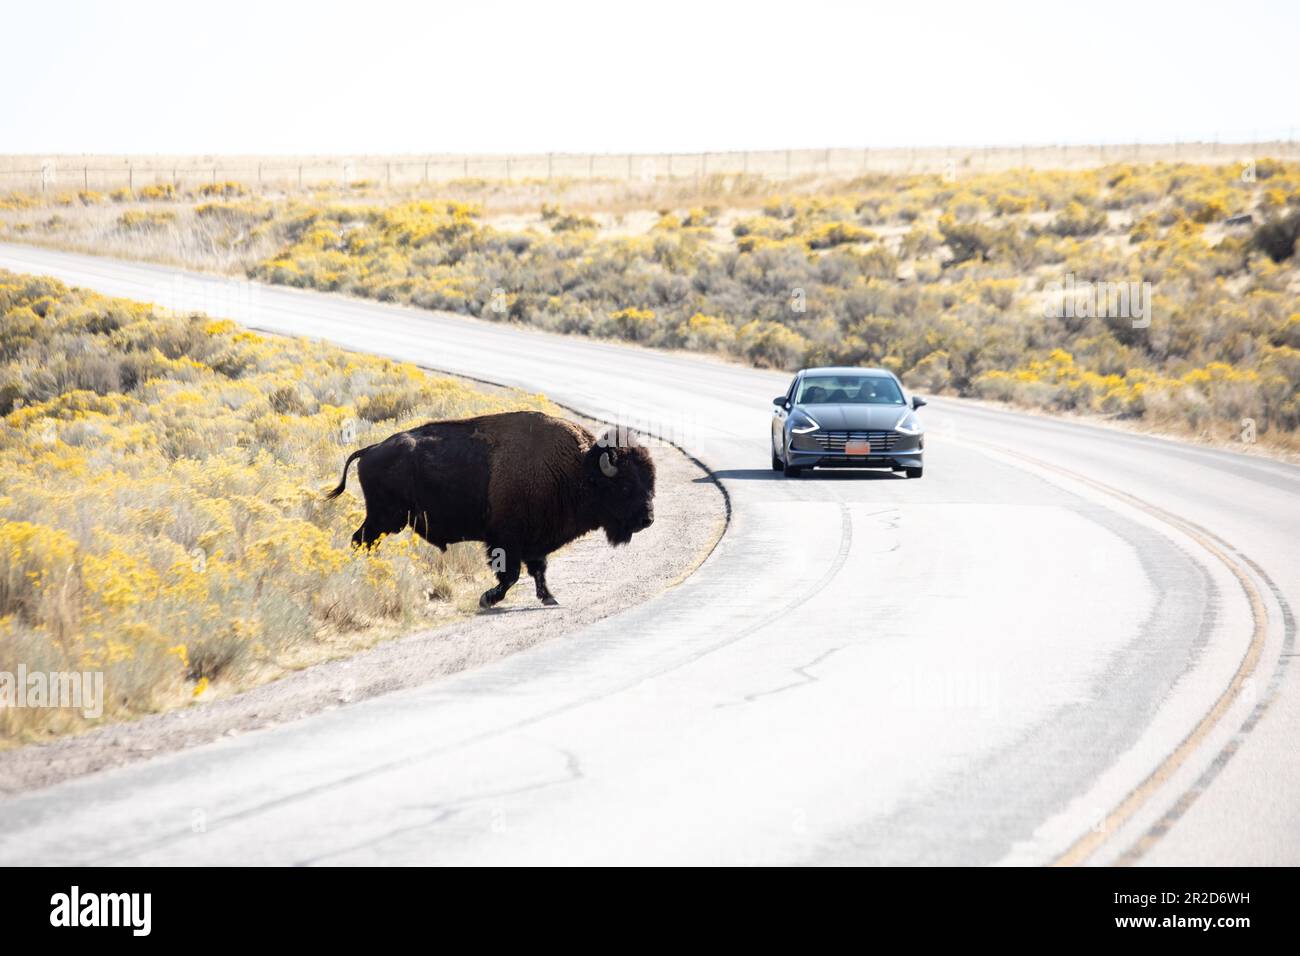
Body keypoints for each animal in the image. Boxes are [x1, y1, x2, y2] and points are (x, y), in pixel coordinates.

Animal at [326, 410, 655, 608]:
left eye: (649, 480)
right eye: (625, 486)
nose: (647, 519)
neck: (580, 469)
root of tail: (370, 450)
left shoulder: (534, 541)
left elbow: (538, 570)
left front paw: (549, 598)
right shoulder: (507, 540)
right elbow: (510, 574)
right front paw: (488, 599)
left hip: (384, 520)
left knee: (362, 541)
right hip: (384, 519)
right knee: (360, 541)